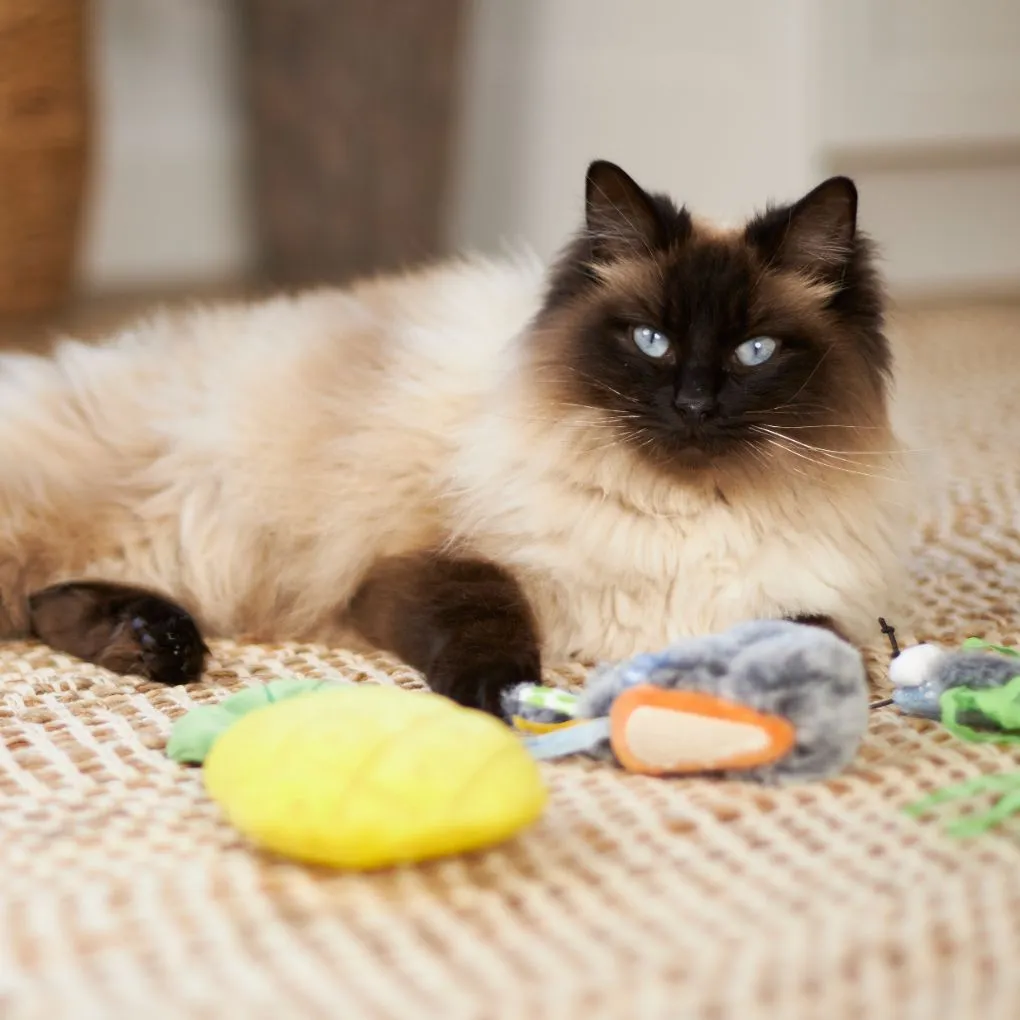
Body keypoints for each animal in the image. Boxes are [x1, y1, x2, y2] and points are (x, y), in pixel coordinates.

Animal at [0, 161, 909, 718]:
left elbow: (818, 646)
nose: (691, 403)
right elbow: (489, 623)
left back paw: (153, 644)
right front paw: (499, 703)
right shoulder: (435, 564)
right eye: (651, 340)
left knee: (50, 607)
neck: (675, 510)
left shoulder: (781, 595)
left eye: (754, 351)